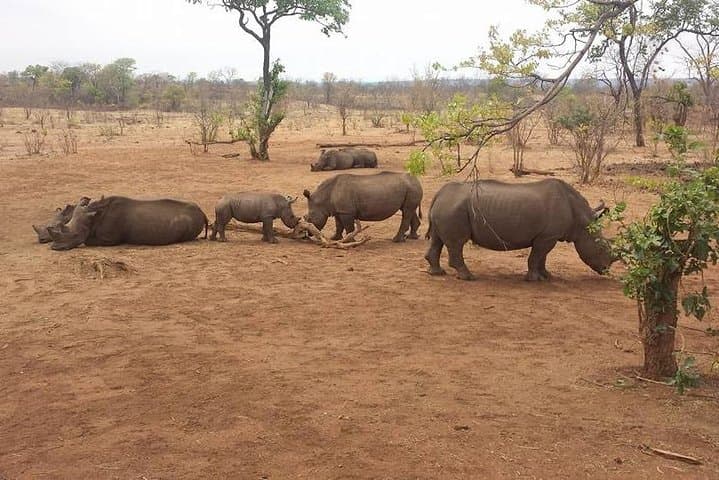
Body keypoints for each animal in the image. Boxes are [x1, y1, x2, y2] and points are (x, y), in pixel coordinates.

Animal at [47, 196, 208, 251]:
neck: (93, 217)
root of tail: (203, 212)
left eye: (74, 235)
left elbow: (87, 241)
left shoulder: (109, 239)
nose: (55, 248)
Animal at [424, 179, 615, 281]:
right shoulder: (547, 237)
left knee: (437, 240)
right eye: (602, 247)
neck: (582, 222)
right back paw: (468, 277)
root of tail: (439, 194)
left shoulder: (547, 236)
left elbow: (542, 257)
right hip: (453, 209)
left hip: (448, 207)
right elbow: (536, 256)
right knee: (457, 243)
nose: (606, 270)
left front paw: (547, 276)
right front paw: (534, 279)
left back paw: (437, 273)